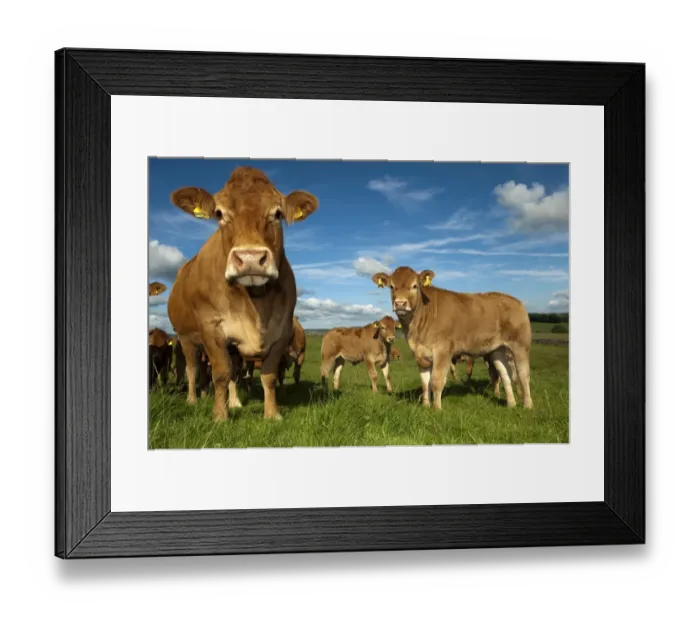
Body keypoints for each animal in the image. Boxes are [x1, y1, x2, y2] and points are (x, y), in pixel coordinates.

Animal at [167, 166, 319, 421]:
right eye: (219, 213)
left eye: (277, 213)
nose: (250, 259)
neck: (257, 305)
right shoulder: (211, 328)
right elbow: (220, 373)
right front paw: (220, 416)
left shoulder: (282, 329)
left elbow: (267, 375)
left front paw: (272, 414)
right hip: (185, 337)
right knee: (192, 369)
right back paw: (193, 399)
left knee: (233, 372)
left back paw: (235, 401)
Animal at [372, 267, 533, 410]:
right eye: (392, 286)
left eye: (415, 286)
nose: (400, 303)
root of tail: (515, 301)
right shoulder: (420, 354)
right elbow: (425, 383)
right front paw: (425, 406)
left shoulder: (442, 351)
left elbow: (436, 381)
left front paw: (436, 409)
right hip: (497, 349)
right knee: (505, 374)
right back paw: (511, 404)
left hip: (520, 345)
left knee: (523, 374)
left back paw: (528, 405)